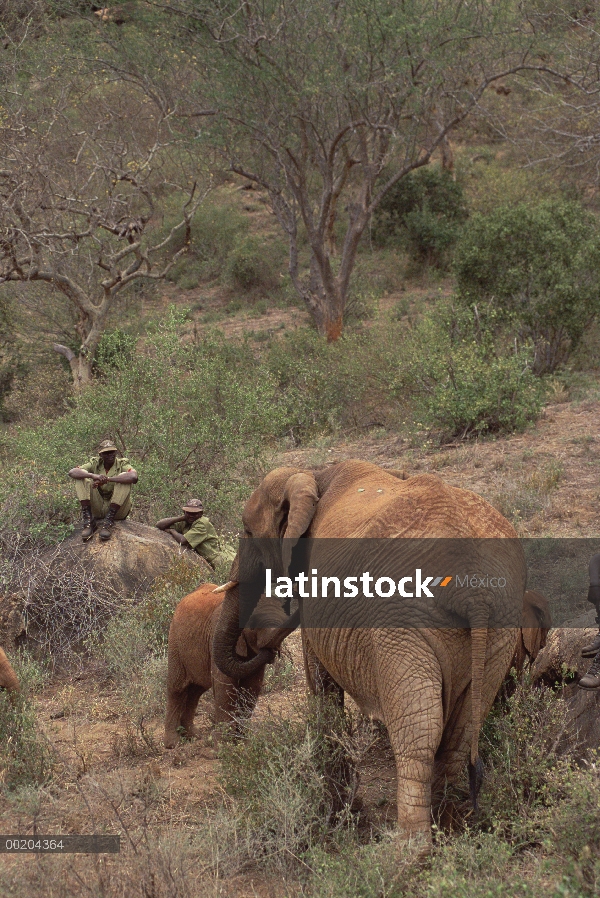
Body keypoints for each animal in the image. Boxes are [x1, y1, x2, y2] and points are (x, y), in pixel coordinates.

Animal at [165, 576, 292, 744]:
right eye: (253, 626)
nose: (272, 653)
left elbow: (252, 686)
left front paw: (242, 740)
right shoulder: (216, 635)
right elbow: (225, 684)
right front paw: (223, 743)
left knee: (196, 691)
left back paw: (193, 736)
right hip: (175, 642)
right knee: (177, 688)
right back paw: (173, 743)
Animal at [212, 458, 524, 852]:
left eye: (247, 530)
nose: (267, 650)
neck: (314, 474)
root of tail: (475, 591)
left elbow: (321, 684)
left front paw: (339, 810)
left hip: (403, 626)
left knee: (418, 734)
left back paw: (408, 853)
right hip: (500, 629)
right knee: (462, 733)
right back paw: (449, 834)